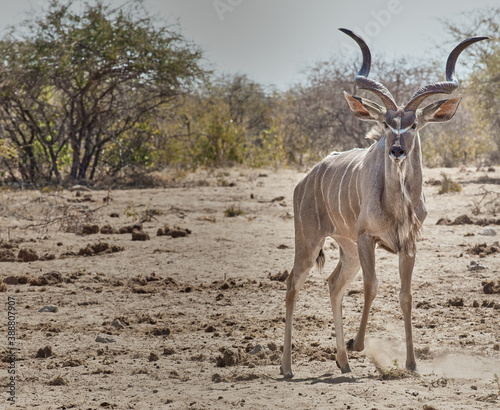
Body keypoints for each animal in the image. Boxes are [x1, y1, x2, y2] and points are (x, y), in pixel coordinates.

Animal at [282, 28, 488, 380]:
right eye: (387, 123)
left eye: (413, 124)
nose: (396, 150)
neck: (398, 206)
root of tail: (306, 179)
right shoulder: (368, 239)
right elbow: (372, 286)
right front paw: (358, 344)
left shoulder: (408, 244)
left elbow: (406, 296)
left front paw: (411, 363)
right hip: (310, 242)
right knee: (293, 285)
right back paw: (288, 367)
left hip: (347, 249)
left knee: (333, 284)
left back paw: (342, 362)